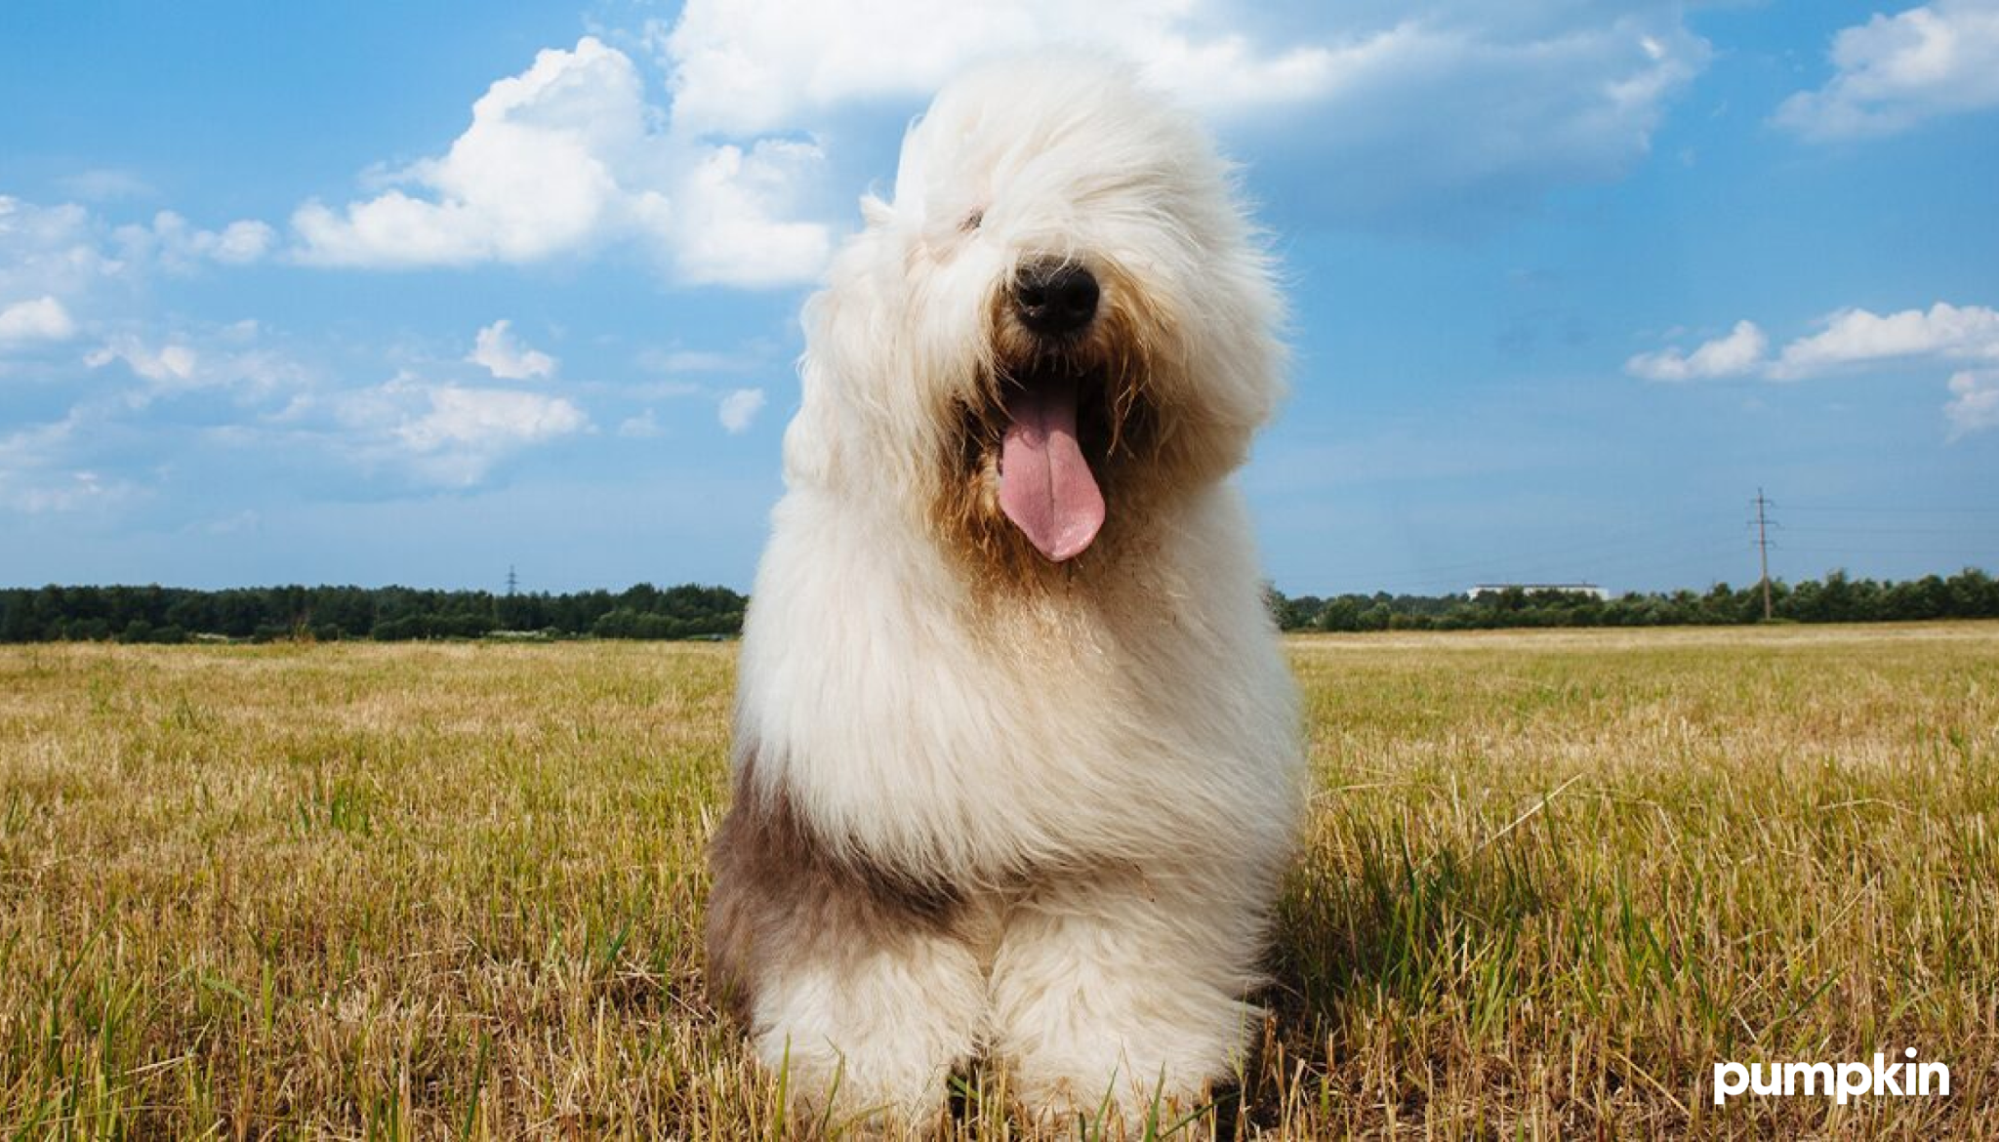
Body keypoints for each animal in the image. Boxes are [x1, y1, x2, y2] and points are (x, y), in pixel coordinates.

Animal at [711, 55, 1303, 1135]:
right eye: (970, 220)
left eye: (1124, 209)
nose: (1056, 287)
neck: (1025, 589)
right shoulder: (852, 836)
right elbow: (867, 984)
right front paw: (862, 1095)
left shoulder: (1124, 842)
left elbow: (1107, 974)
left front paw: (1108, 1092)